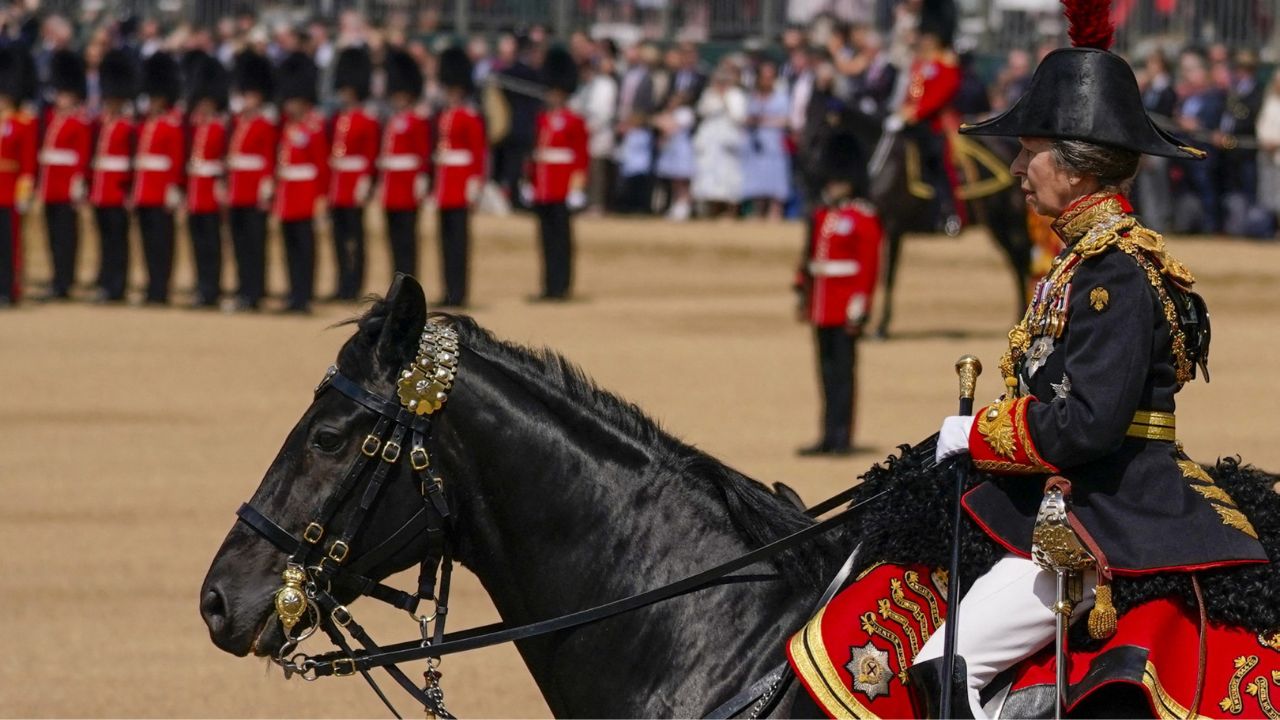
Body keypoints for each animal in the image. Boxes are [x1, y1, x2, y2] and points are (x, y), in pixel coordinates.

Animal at [865, 129, 1034, 338]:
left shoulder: (893, 226)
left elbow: (888, 275)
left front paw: (881, 326)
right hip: (999, 225)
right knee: (1017, 263)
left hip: (1010, 221)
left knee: (1021, 262)